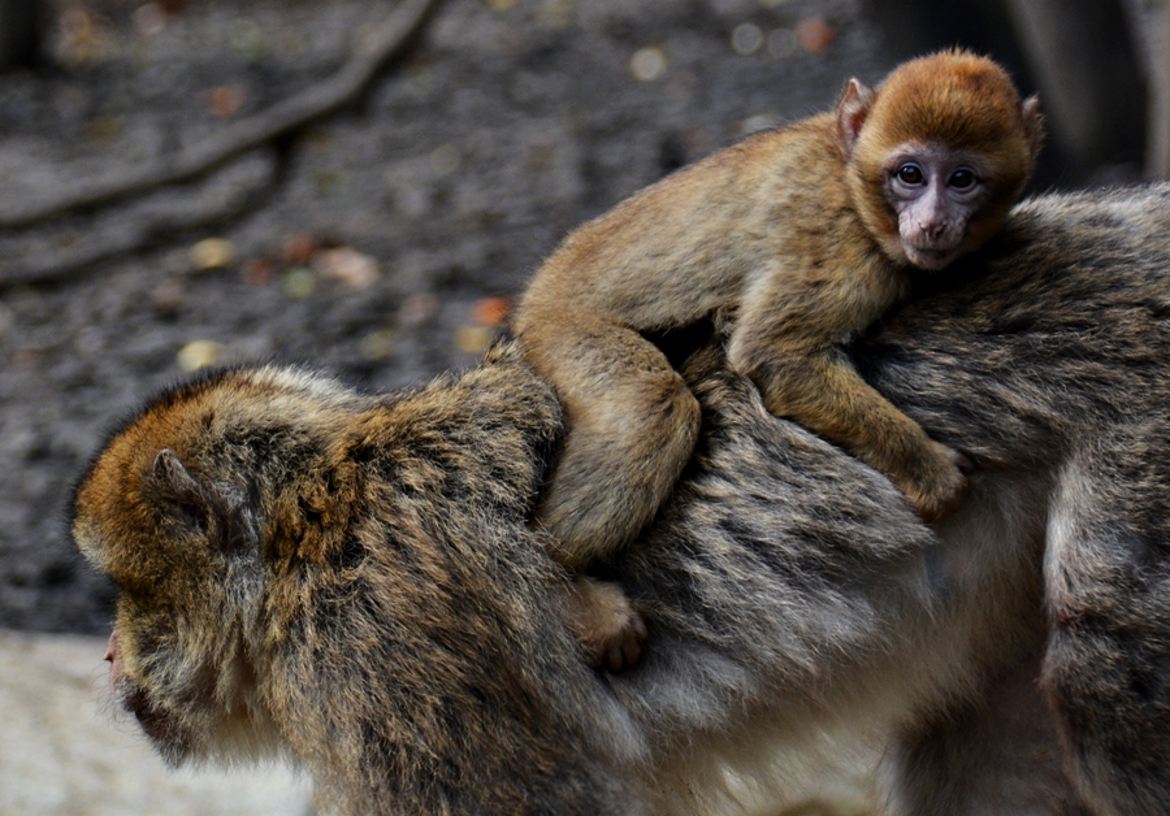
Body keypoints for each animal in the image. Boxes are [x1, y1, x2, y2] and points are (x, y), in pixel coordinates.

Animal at [73, 186, 1170, 814]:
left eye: (128, 592)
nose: (110, 653)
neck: (312, 531)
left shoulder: (383, 665)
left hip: (1142, 454)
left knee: (1104, 680)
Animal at [514, 49, 1043, 660]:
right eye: (910, 175)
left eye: (962, 179)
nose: (933, 222)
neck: (850, 182)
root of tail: (537, 292)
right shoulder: (838, 242)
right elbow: (775, 353)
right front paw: (927, 470)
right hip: (563, 328)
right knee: (654, 403)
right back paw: (561, 576)